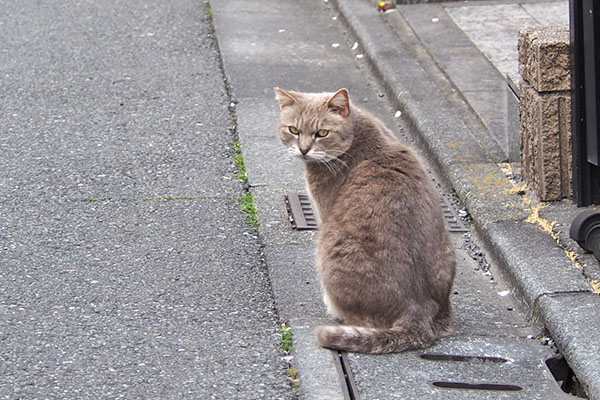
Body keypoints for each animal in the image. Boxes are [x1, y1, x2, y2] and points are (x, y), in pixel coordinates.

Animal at [274, 87, 458, 354]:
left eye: (322, 133)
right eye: (294, 130)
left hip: (329, 248)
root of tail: (418, 311)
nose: (304, 149)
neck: (357, 132)